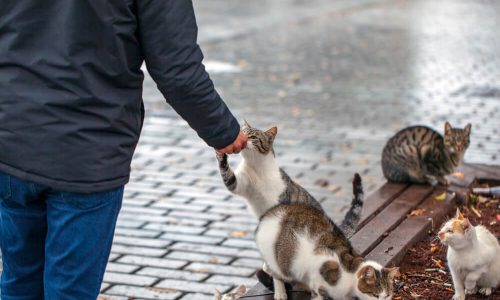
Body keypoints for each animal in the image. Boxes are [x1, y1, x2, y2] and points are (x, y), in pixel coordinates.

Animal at [217, 120, 362, 238]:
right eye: (243, 132)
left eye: (252, 137)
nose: (239, 138)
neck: (256, 167)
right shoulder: (238, 184)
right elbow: (228, 177)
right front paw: (220, 155)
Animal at [256, 202, 396, 300]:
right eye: (375, 295)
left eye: (387, 295)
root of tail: (270, 212)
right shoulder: (318, 278)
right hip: (278, 258)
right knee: (274, 271)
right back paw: (280, 292)